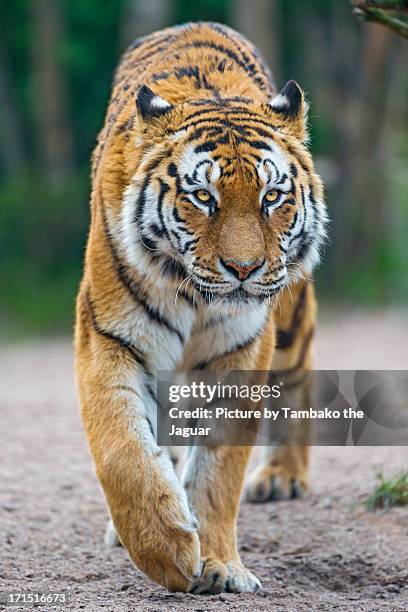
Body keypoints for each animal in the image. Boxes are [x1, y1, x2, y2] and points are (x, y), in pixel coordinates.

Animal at [74, 21, 328, 596]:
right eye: (204, 198)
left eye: (272, 197)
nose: (244, 269)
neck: (194, 296)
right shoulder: (109, 337)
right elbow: (123, 450)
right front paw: (167, 550)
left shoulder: (242, 349)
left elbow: (219, 470)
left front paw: (217, 564)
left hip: (290, 317)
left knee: (300, 368)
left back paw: (283, 476)